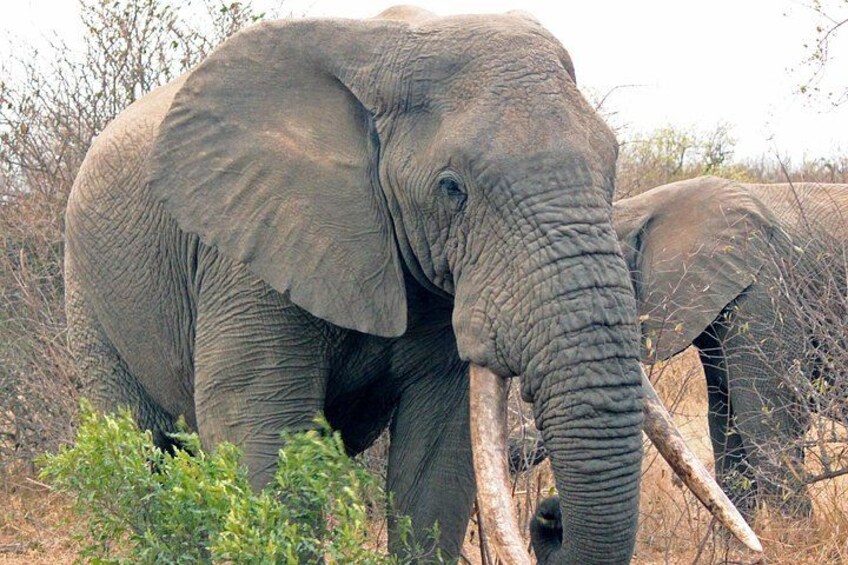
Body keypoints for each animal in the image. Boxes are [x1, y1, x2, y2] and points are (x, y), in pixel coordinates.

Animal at [63, 6, 747, 563]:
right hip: (89, 299)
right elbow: (259, 432)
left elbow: (436, 463)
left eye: (611, 166)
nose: (549, 516)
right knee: (141, 458)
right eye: (452, 188)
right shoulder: (248, 248)